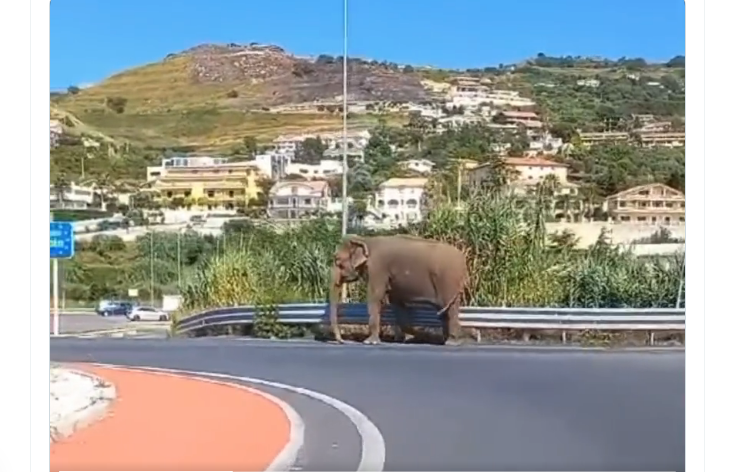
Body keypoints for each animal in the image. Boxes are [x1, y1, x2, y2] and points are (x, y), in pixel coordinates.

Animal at [326, 234, 464, 344]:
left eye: (337, 261)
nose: (342, 341)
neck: (365, 240)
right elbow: (396, 301)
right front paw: (408, 337)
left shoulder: (377, 269)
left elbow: (375, 297)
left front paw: (370, 342)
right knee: (446, 309)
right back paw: (447, 340)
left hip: (447, 280)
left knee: (450, 309)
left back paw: (451, 342)